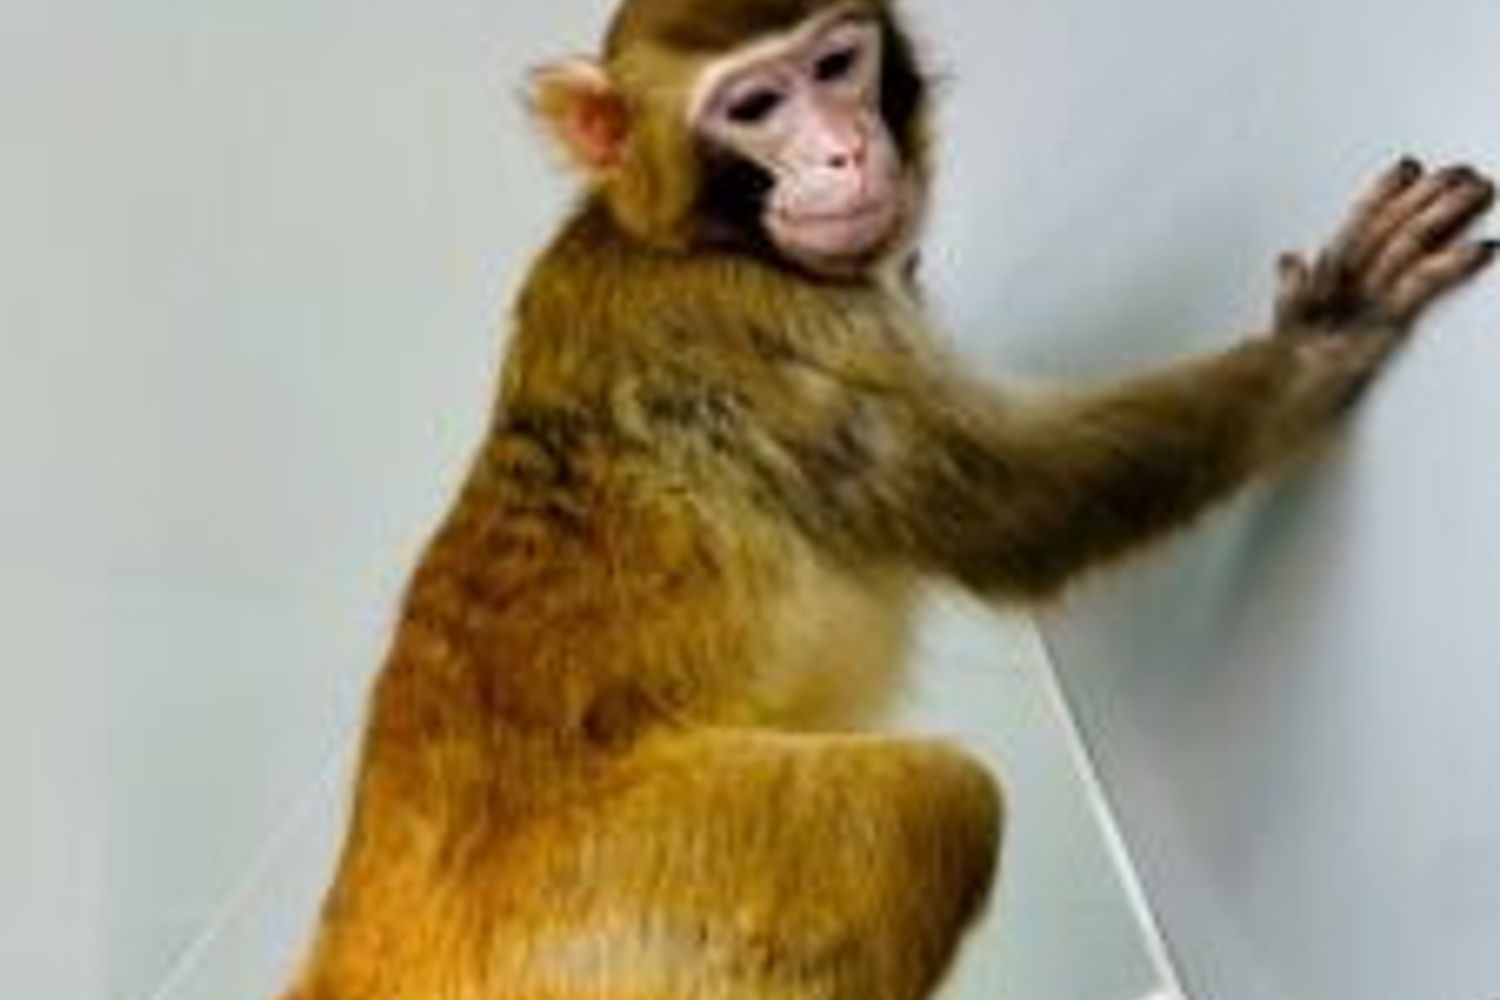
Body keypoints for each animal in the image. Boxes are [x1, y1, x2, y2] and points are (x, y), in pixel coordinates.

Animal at [275, 1, 1497, 998]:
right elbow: (1023, 513)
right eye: (755, 105)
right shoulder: (759, 326)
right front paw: (1326, 339)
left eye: (838, 64)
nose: (844, 146)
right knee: (934, 806)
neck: (680, 236)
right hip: (617, 907)